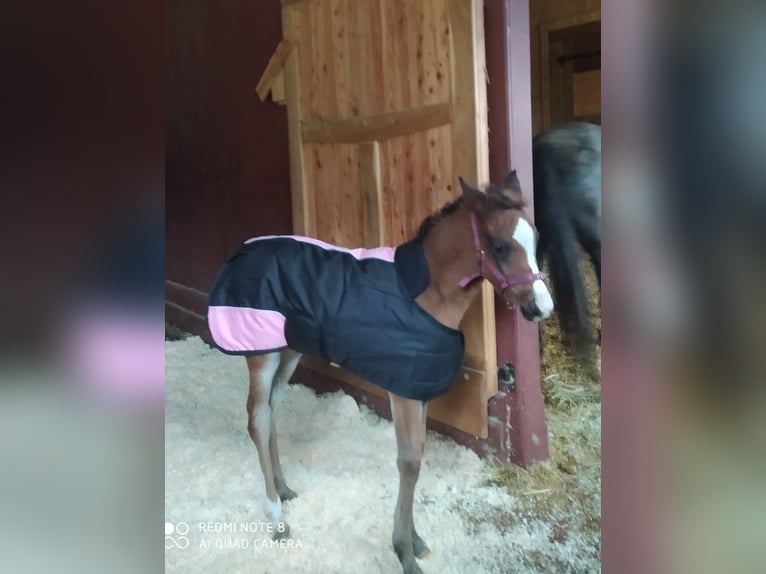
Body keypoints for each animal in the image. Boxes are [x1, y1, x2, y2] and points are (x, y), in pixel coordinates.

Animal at [206, 170, 553, 574]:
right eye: (499, 246)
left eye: (536, 240)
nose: (542, 307)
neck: (425, 294)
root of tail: (241, 250)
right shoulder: (403, 391)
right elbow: (410, 461)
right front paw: (404, 550)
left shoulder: (417, 389)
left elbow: (417, 455)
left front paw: (415, 541)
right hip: (260, 354)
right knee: (258, 418)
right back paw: (276, 518)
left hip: (288, 350)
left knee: (272, 409)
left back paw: (283, 487)